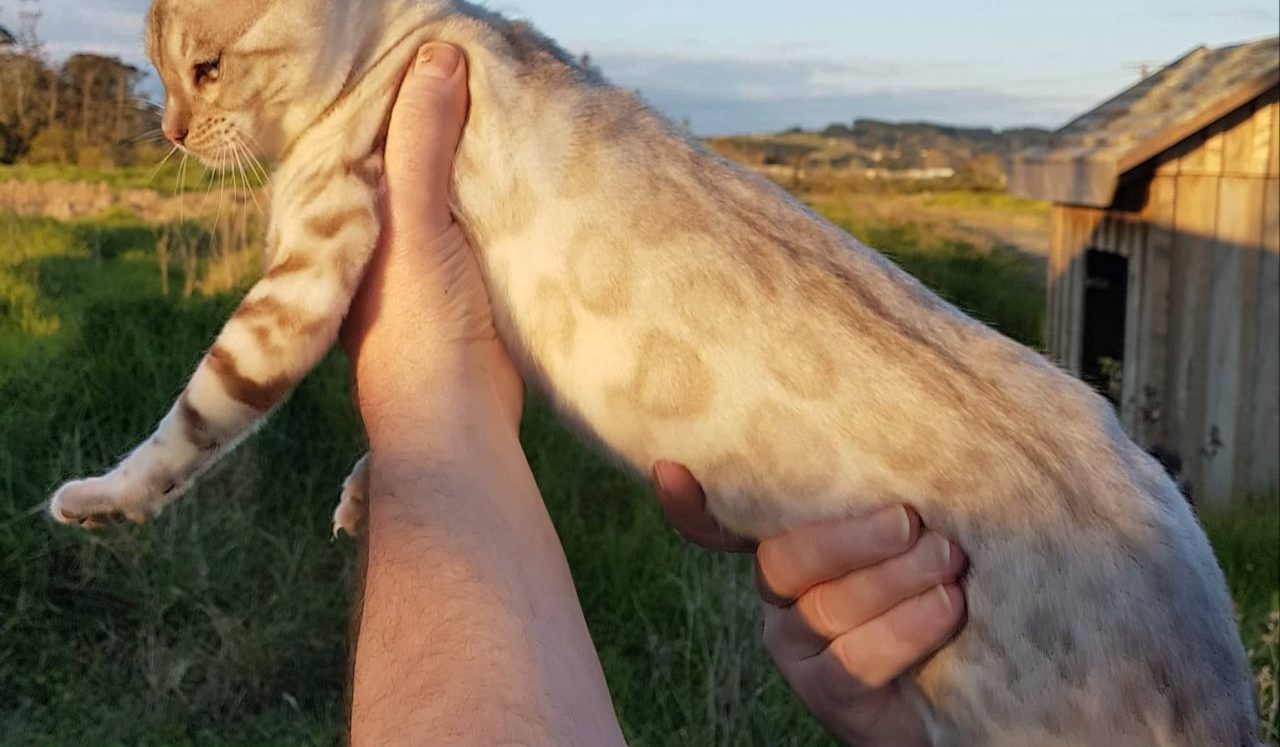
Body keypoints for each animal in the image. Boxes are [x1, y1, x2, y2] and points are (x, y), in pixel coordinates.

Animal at [47, 1, 1259, 747]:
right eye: (157, 74)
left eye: (204, 68)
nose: (168, 131)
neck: (413, 31)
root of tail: (1211, 658)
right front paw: (361, 492)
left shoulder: (307, 269)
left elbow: (195, 418)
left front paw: (88, 503)